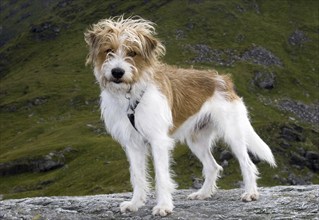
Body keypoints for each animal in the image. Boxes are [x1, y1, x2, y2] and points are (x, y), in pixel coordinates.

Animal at [84, 15, 276, 217]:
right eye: (109, 51)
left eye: (133, 52)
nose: (117, 72)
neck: (131, 96)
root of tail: (223, 80)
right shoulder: (133, 144)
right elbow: (137, 176)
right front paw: (135, 203)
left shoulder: (158, 141)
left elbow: (161, 177)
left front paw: (163, 206)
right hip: (197, 140)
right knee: (213, 166)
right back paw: (203, 194)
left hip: (233, 134)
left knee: (247, 163)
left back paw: (250, 193)